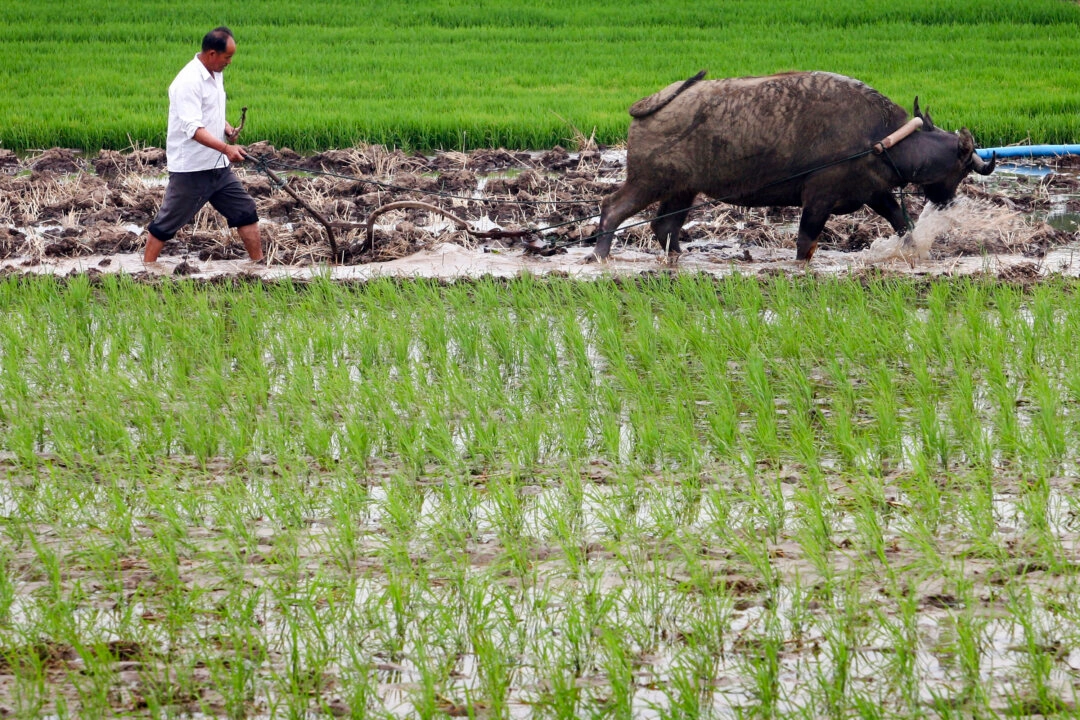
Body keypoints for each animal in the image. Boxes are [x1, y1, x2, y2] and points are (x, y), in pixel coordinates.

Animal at [591, 69, 993, 262]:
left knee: (665, 226)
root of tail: (648, 104)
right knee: (612, 208)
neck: (879, 138)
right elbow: (805, 242)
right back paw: (600, 255)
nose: (946, 202)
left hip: (683, 190)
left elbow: (902, 224)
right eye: (961, 169)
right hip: (648, 182)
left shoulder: (874, 193)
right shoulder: (818, 198)